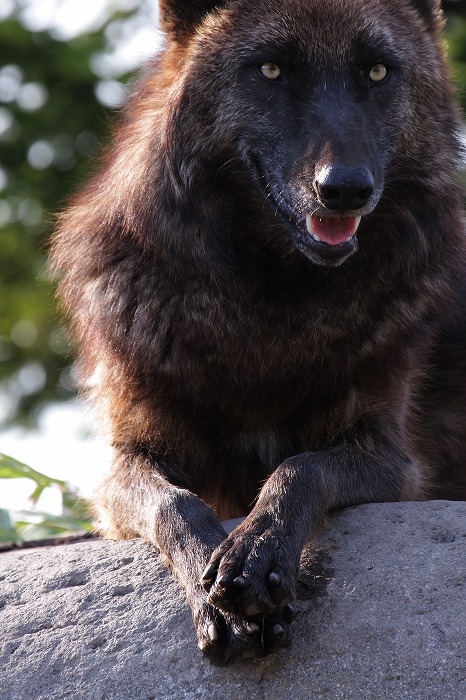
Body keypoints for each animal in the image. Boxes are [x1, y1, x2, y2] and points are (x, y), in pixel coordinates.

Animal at [51, 0, 466, 660]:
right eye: (271, 70)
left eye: (376, 72)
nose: (345, 188)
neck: (268, 312)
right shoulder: (125, 458)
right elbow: (174, 503)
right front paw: (210, 588)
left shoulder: (392, 458)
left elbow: (300, 468)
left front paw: (257, 554)